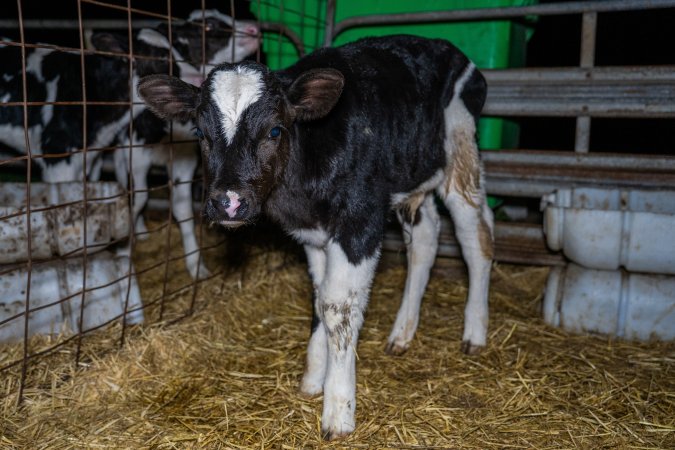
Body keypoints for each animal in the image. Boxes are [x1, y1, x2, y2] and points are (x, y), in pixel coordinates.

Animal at [0, 10, 259, 280]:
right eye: (209, 26)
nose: (254, 29)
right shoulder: (96, 158)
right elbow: (132, 200)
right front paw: (123, 255)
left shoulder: (184, 158)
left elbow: (182, 209)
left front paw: (196, 266)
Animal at [138, 35, 494, 439]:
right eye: (200, 133)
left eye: (275, 131)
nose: (228, 202)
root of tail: (443, 46)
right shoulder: (312, 234)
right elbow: (319, 296)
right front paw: (313, 378)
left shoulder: (360, 223)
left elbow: (337, 307)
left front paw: (339, 408)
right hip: (413, 179)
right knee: (425, 237)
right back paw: (402, 332)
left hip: (461, 150)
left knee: (476, 235)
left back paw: (474, 331)